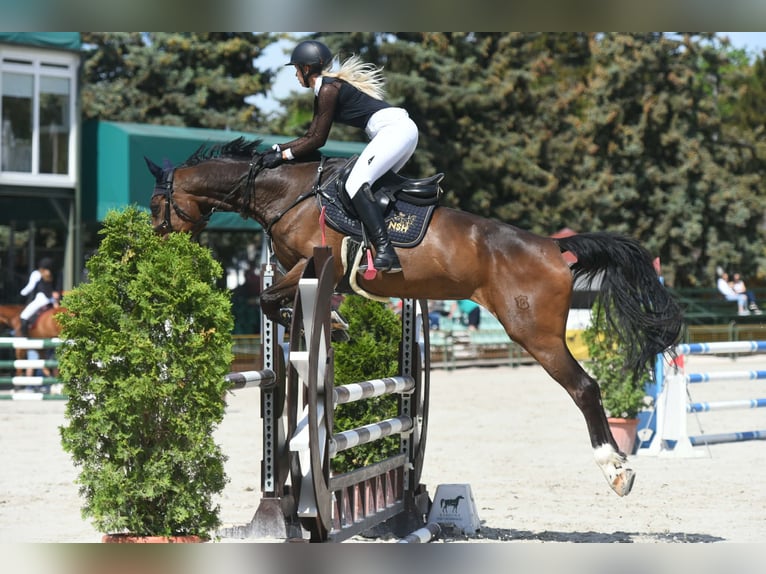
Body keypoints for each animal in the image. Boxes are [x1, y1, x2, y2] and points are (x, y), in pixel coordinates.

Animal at [146, 138, 683, 498]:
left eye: (155, 203)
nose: (160, 248)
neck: (286, 194)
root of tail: (555, 247)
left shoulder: (314, 266)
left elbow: (269, 299)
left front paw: (328, 326)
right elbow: (275, 300)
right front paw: (335, 326)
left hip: (536, 334)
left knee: (585, 388)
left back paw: (616, 469)